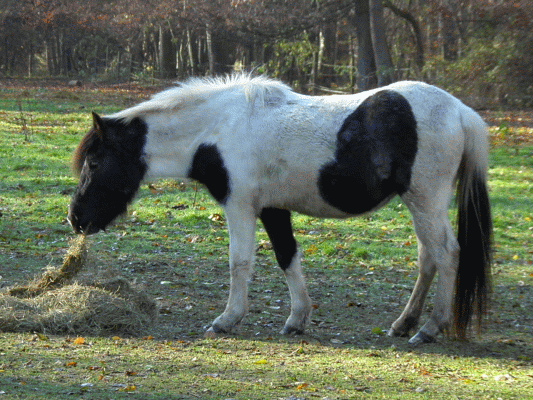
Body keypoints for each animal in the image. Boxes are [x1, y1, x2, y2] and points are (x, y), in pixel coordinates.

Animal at [68, 74, 492, 344]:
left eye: (94, 162)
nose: (75, 218)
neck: (218, 128)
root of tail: (460, 111)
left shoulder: (240, 206)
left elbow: (240, 262)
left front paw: (227, 320)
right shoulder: (273, 209)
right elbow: (287, 257)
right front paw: (297, 319)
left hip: (425, 200)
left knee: (447, 254)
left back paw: (429, 328)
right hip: (421, 204)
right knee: (428, 258)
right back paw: (404, 324)